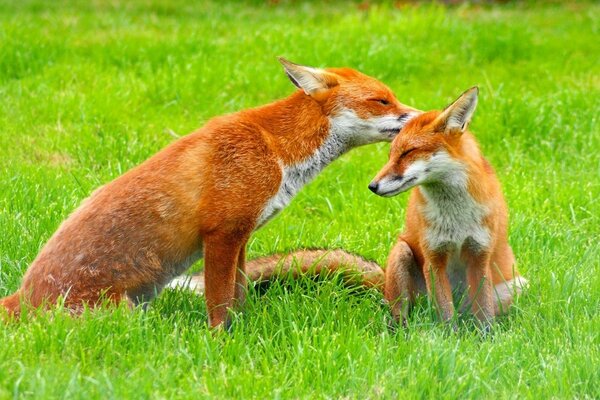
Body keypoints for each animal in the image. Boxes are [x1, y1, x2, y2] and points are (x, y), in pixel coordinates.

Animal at [0, 59, 420, 328]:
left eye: (392, 97)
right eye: (382, 100)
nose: (421, 117)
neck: (276, 150)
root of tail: (20, 300)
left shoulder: (242, 236)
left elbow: (239, 293)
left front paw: (245, 330)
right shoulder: (221, 233)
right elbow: (219, 301)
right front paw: (221, 340)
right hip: (122, 314)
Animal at [169, 89, 524, 330]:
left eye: (408, 152)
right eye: (391, 154)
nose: (373, 186)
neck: (455, 215)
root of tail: (383, 281)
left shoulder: (479, 254)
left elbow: (483, 314)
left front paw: (481, 342)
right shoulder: (433, 255)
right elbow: (446, 314)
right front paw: (451, 340)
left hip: (514, 285)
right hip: (403, 255)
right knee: (403, 312)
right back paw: (401, 332)